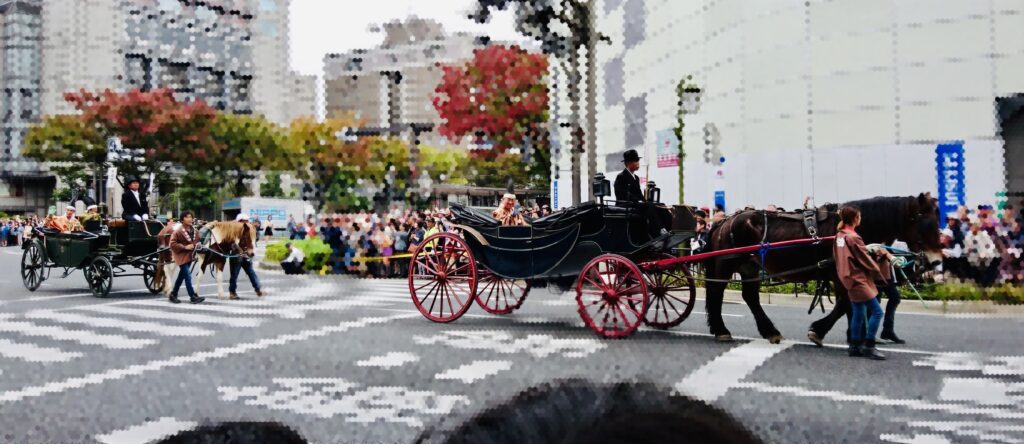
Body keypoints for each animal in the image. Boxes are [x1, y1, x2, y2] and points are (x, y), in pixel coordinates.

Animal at [700, 193, 937, 343]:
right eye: (924, 222)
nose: (934, 261)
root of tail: (724, 221)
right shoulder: (839, 274)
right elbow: (845, 304)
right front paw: (819, 330)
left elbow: (850, 304)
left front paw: (854, 334)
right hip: (726, 263)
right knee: (716, 292)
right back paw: (721, 329)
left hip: (749, 265)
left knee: (750, 297)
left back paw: (770, 331)